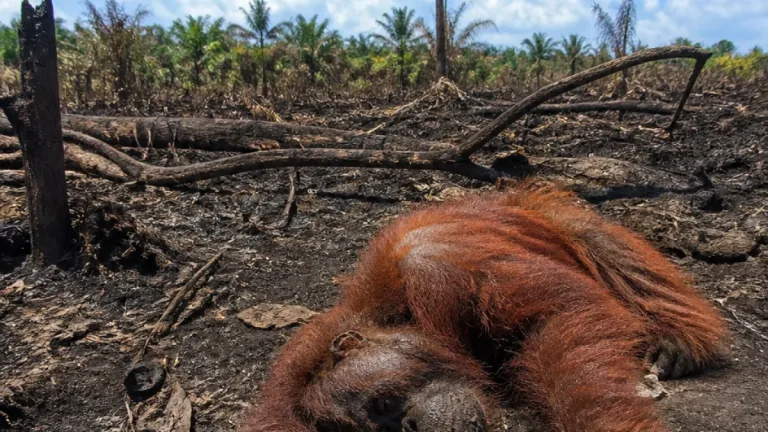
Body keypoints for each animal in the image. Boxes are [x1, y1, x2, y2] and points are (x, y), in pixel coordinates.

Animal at [240, 181, 728, 432]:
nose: (411, 426)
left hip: (544, 212)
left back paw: (679, 341)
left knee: (599, 242)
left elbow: (559, 318)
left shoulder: (440, 268)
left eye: (383, 404)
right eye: (376, 430)